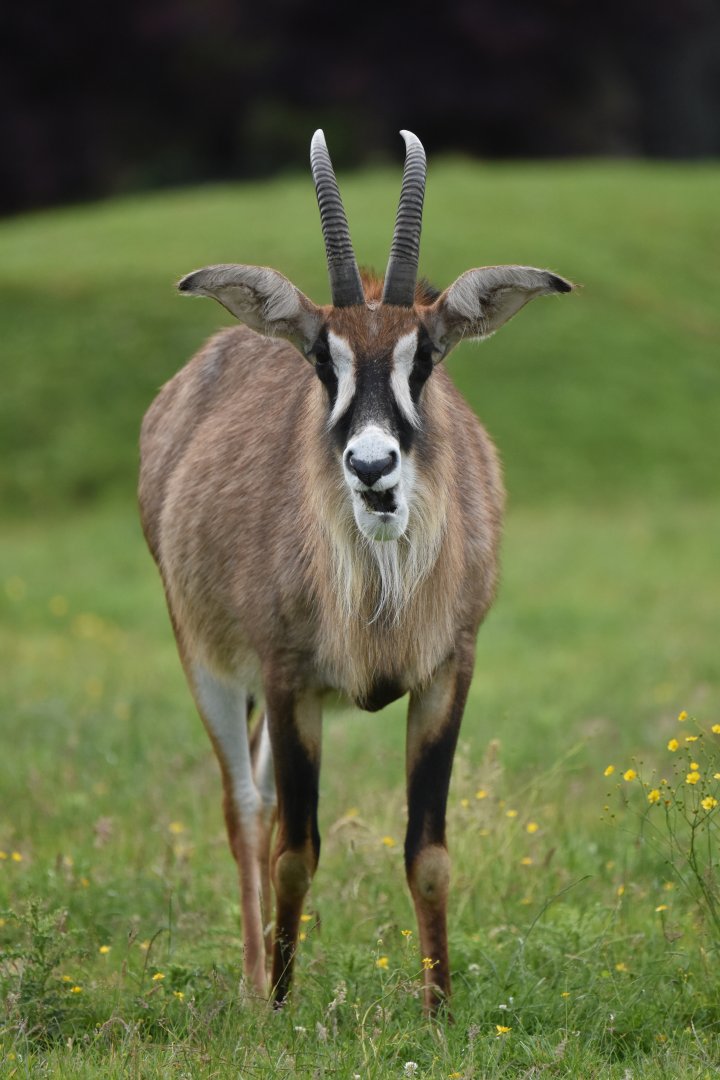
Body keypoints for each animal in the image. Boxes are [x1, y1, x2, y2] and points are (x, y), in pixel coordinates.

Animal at [138, 130, 573, 1013]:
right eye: (321, 358)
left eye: (425, 356)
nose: (373, 469)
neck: (381, 589)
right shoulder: (287, 678)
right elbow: (294, 852)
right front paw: (280, 1005)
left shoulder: (448, 671)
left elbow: (427, 852)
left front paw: (439, 1008)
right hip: (211, 667)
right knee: (247, 810)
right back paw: (252, 980)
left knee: (263, 801)